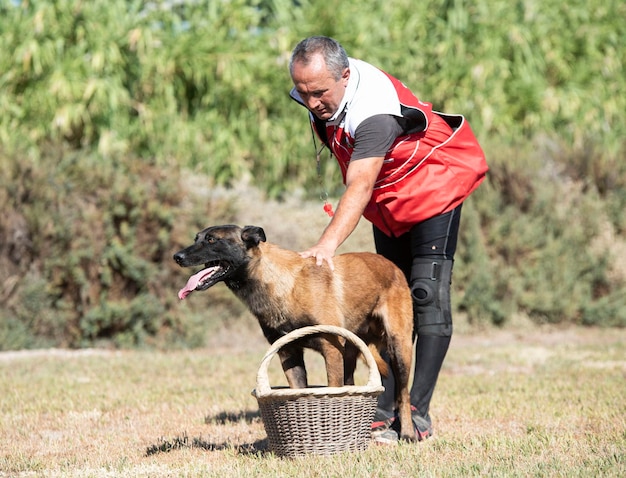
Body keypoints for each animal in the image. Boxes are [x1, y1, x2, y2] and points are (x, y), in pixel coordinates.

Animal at [173, 224, 414, 440]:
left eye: (212, 239)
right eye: (197, 238)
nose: (177, 256)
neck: (284, 285)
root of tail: (392, 266)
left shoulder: (330, 349)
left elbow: (333, 390)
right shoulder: (288, 353)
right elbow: (298, 391)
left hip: (399, 350)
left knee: (403, 395)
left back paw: (408, 433)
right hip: (350, 354)